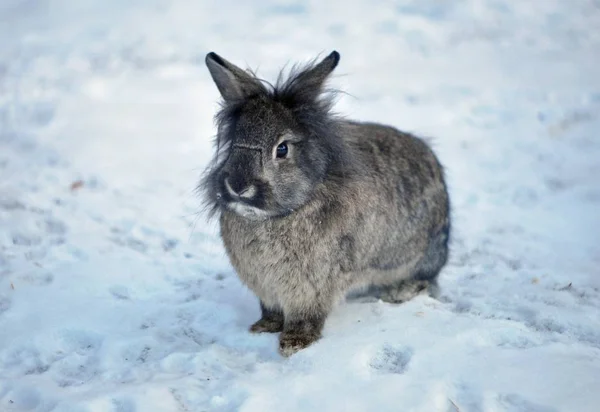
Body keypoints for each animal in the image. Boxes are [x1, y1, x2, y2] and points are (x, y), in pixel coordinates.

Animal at [202, 50, 450, 356]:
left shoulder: (312, 286)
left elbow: (306, 316)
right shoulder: (266, 287)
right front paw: (263, 327)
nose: (237, 186)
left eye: (281, 149)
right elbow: (271, 310)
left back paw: (399, 292)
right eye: (235, 142)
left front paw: (294, 343)